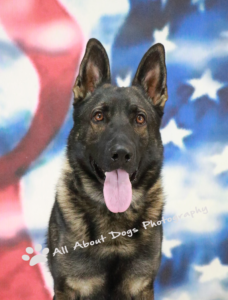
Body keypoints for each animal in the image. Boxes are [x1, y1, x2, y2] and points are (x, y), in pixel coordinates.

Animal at [46, 38, 167, 300]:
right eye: (99, 116)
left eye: (140, 119)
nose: (121, 155)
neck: (114, 220)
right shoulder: (67, 287)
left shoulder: (142, 286)